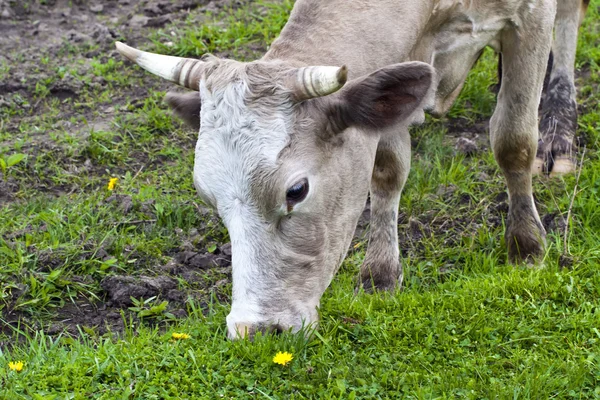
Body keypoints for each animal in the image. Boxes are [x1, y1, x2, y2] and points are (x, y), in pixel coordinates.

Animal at [115, 0, 588, 338]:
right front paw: (381, 273)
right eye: (208, 196)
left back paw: (559, 126)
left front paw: (526, 247)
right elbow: (388, 169)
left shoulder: (531, 16)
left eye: (296, 191)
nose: (255, 330)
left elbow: (513, 141)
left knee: (570, 19)